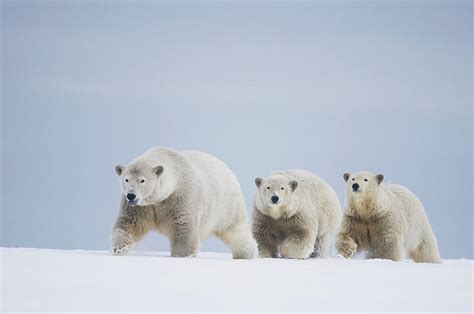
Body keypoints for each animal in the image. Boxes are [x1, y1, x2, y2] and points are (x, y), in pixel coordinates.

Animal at [110, 147, 258, 258]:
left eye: (142, 180)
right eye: (126, 179)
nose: (131, 195)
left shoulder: (181, 198)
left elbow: (183, 227)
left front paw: (181, 255)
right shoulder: (141, 207)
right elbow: (129, 223)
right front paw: (119, 248)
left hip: (227, 206)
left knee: (235, 231)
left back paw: (247, 254)